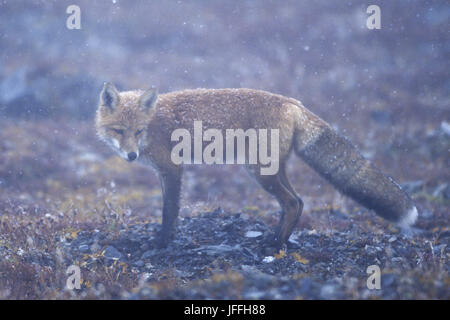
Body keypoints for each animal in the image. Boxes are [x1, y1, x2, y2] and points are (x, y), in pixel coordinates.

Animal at [95, 82, 418, 248]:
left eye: (138, 131)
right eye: (119, 131)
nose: (131, 156)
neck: (155, 124)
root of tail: (294, 103)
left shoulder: (172, 170)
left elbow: (169, 211)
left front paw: (163, 243)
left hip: (259, 171)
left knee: (292, 203)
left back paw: (274, 245)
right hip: (272, 169)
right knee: (298, 202)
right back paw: (278, 239)